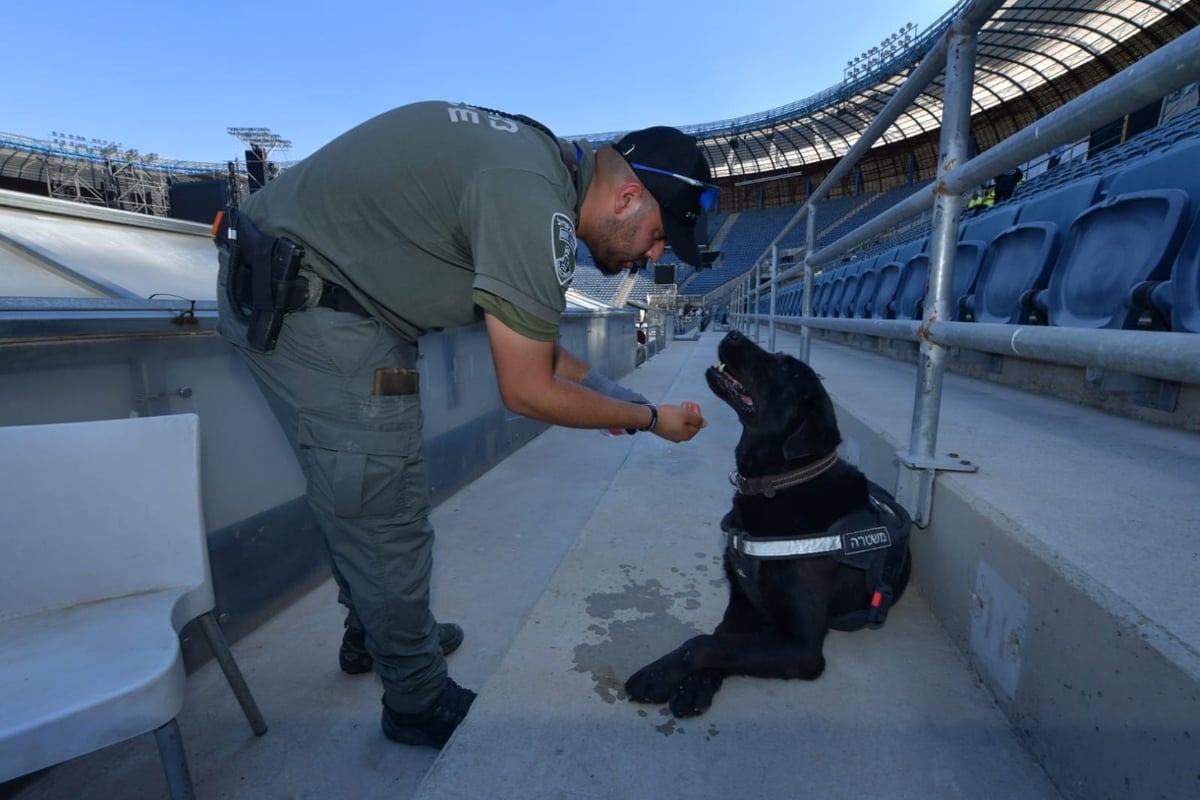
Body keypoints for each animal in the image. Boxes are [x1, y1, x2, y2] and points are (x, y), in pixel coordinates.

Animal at [628, 328, 907, 714]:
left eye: (786, 367)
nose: (732, 331)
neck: (779, 483)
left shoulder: (802, 647)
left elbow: (703, 644)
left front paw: (659, 676)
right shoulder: (743, 598)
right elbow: (721, 637)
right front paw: (693, 684)